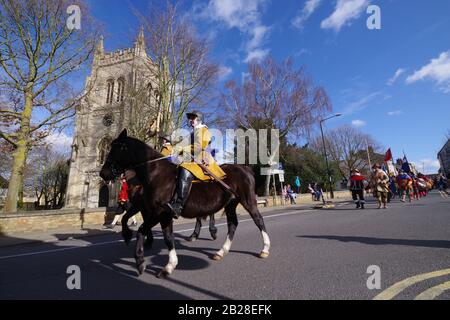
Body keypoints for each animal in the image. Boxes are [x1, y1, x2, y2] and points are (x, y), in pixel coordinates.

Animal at [100, 129, 270, 278]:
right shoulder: (161, 214)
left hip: (248, 201)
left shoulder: (158, 212)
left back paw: (264, 249)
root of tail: (245, 168)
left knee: (258, 220)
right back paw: (221, 251)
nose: (103, 173)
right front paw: (169, 266)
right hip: (230, 205)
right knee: (233, 225)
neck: (156, 174)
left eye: (117, 148)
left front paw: (141, 261)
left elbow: (142, 230)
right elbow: (167, 238)